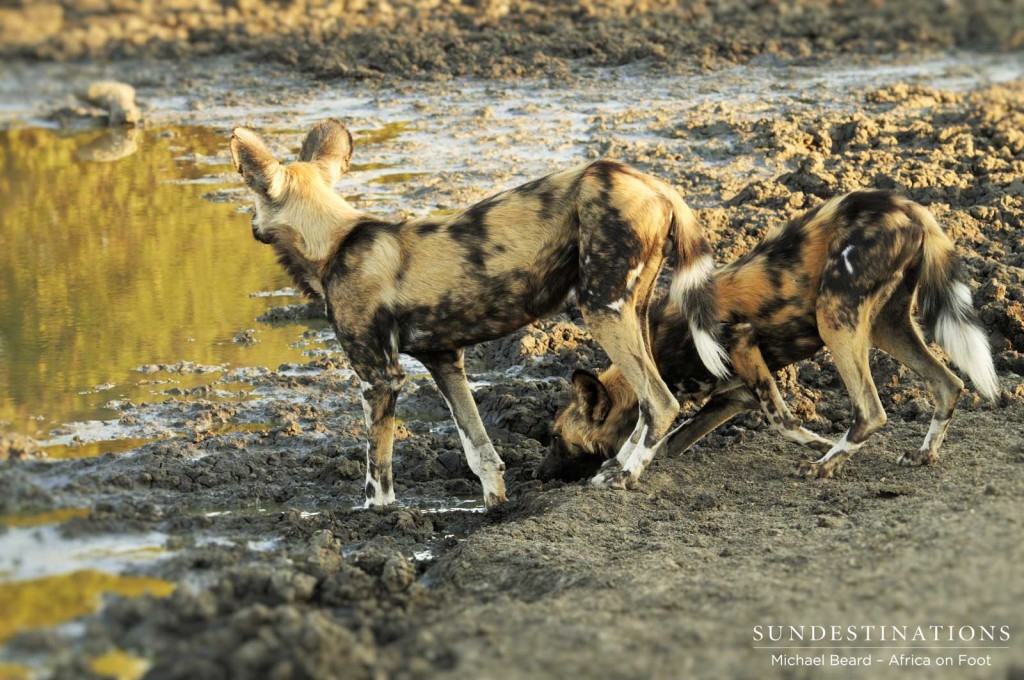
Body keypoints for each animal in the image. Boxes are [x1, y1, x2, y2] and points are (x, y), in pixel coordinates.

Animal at [232, 119, 729, 507]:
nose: (250, 227)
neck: (334, 242)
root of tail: (653, 181)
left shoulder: (379, 378)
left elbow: (378, 466)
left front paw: (378, 516)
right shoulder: (444, 360)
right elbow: (479, 448)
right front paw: (495, 504)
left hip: (598, 308)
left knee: (661, 400)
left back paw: (621, 477)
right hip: (631, 309)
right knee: (647, 400)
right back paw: (617, 465)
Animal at [536, 191, 999, 483]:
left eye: (557, 439)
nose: (539, 474)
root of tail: (906, 205)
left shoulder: (740, 345)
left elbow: (782, 420)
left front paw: (816, 444)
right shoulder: (735, 394)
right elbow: (667, 438)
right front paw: (624, 464)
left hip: (836, 318)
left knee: (871, 411)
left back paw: (824, 465)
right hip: (888, 326)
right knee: (948, 384)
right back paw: (923, 454)